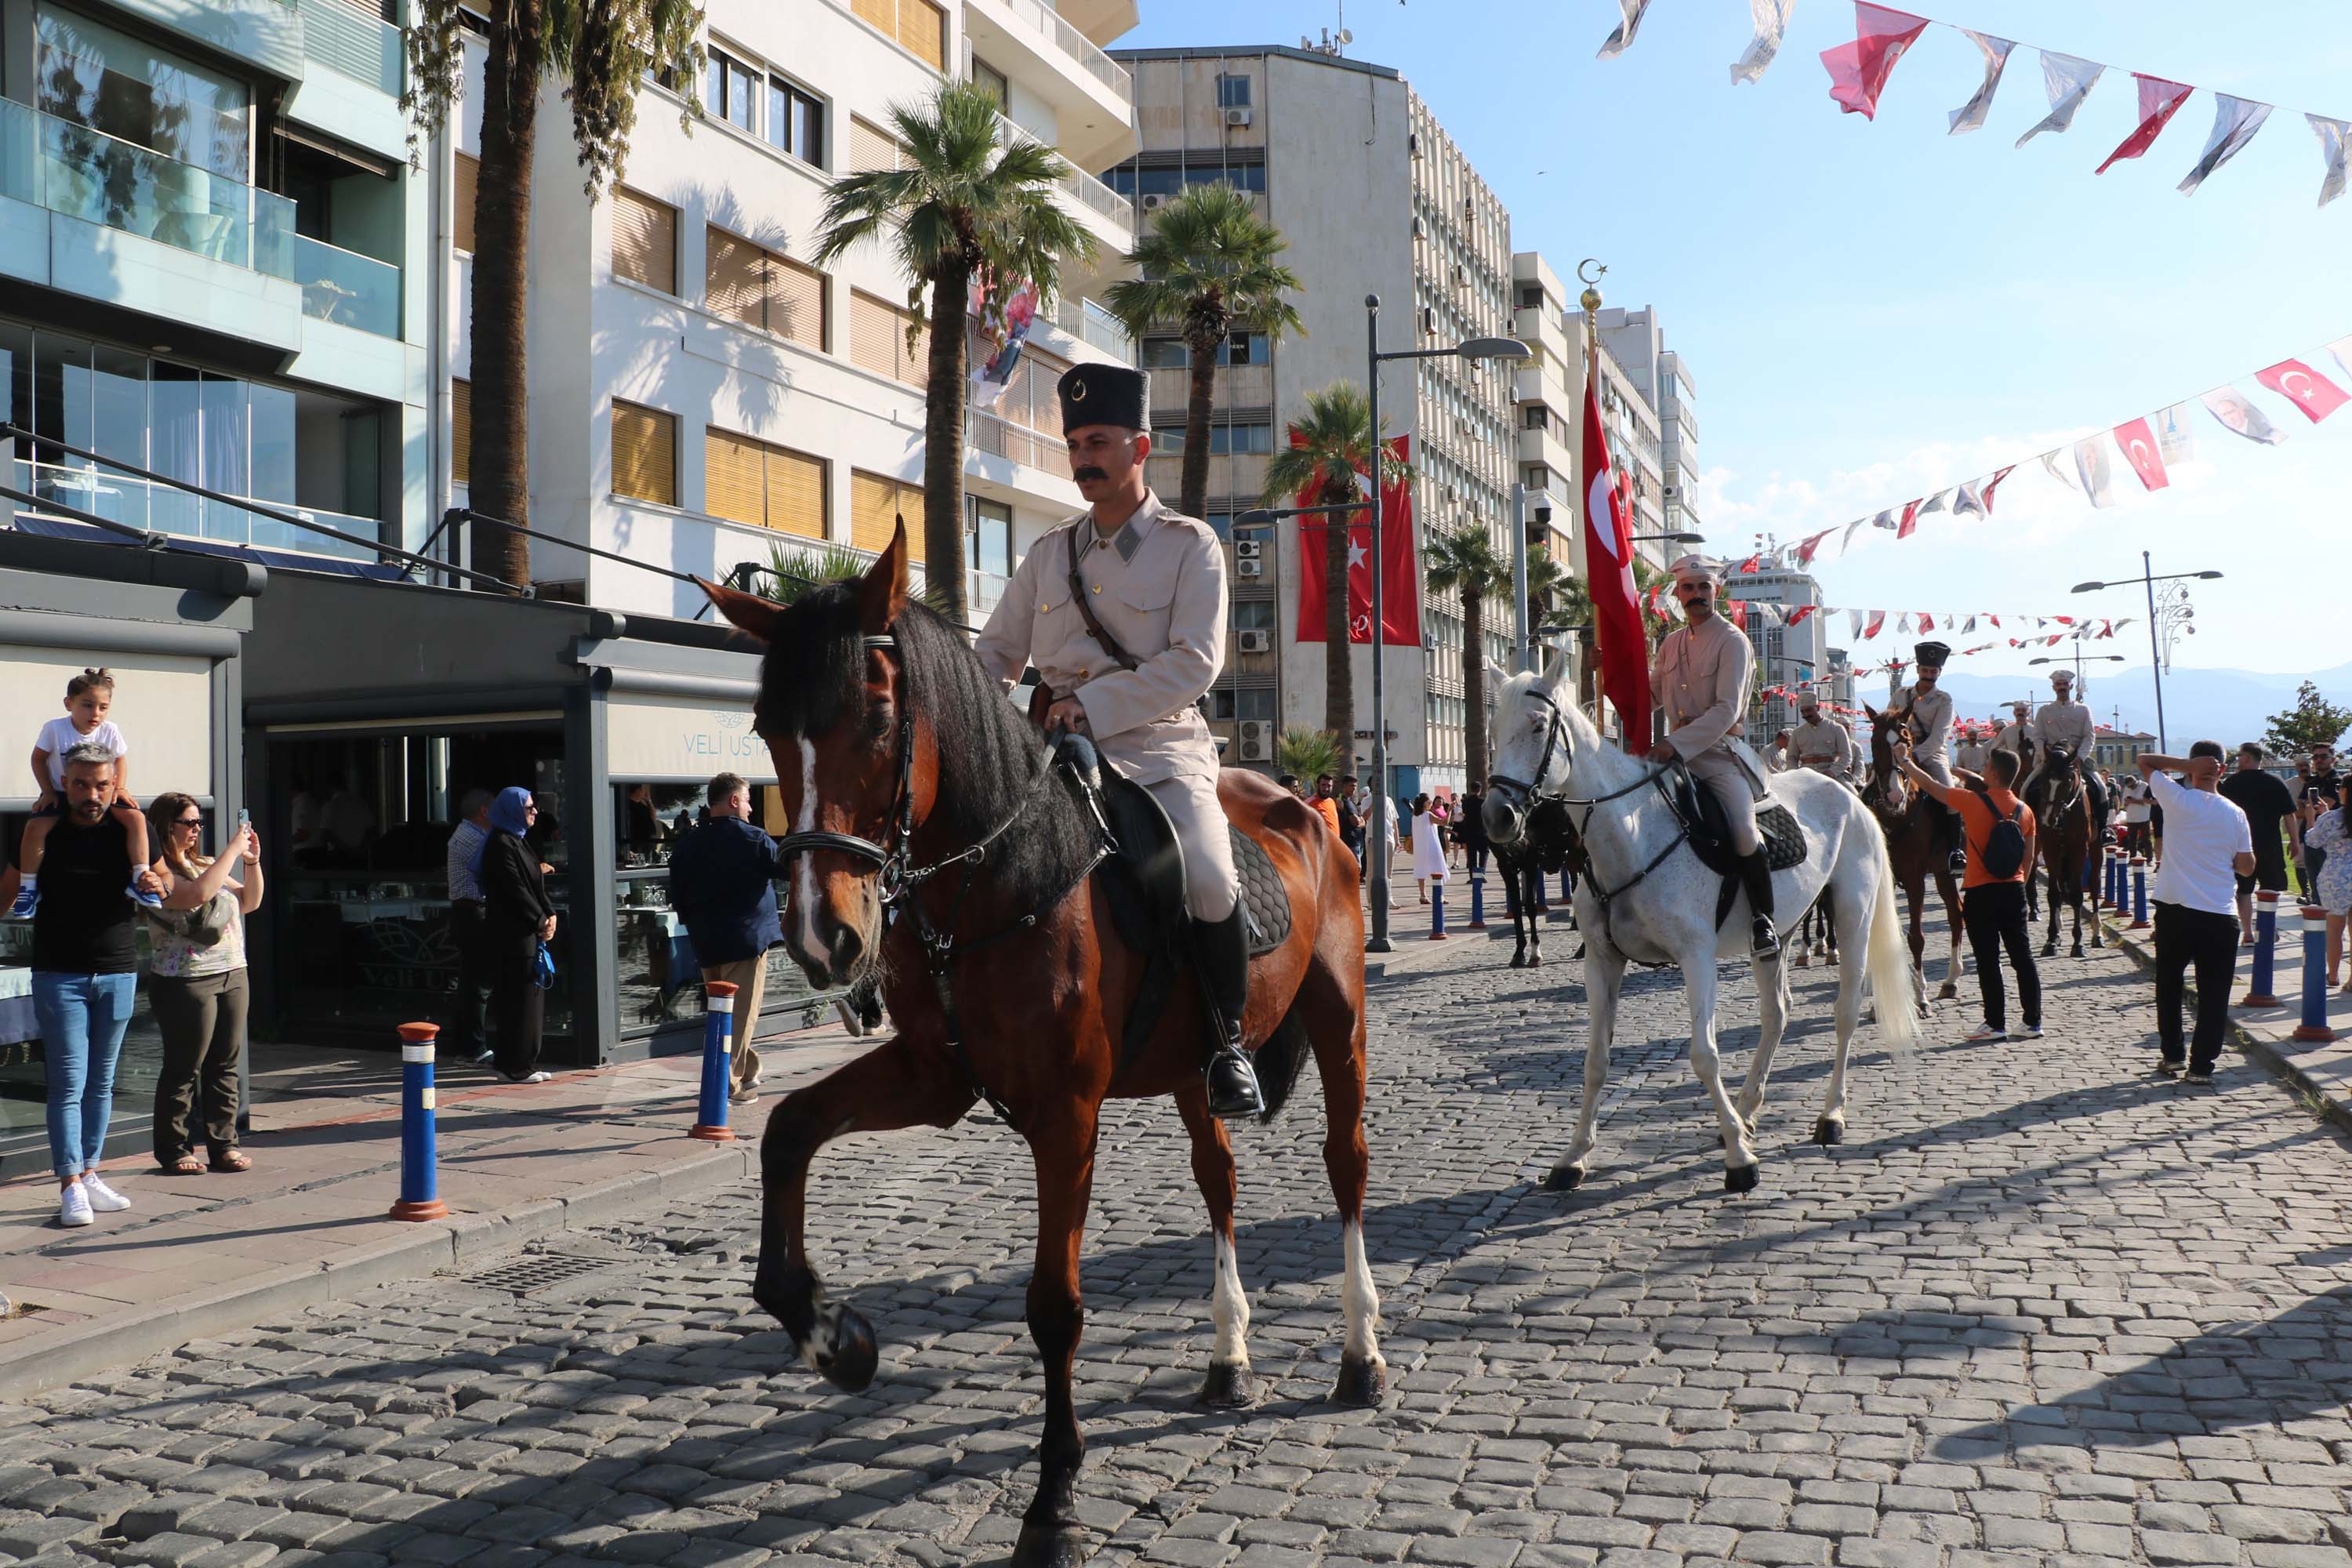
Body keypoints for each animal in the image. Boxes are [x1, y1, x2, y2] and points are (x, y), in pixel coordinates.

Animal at [696, 535, 1374, 1568]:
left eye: (878, 716)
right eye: (768, 727)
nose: (823, 938)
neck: (997, 879)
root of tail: (1307, 808)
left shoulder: (1067, 1115)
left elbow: (1055, 1304)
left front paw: (1053, 1501)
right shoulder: (933, 1075)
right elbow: (788, 1131)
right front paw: (832, 1335)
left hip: (1341, 1025)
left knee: (1346, 1165)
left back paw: (1360, 1352)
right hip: (1194, 1068)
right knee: (1217, 1178)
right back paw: (1228, 1355)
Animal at [1486, 662, 1929, 1189]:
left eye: (1537, 726)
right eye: (1493, 730)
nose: (1497, 816)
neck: (1631, 834)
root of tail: (1850, 797)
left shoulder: (1696, 957)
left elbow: (1703, 1054)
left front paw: (1740, 1161)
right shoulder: (1602, 960)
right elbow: (1595, 1060)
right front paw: (1573, 1157)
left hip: (1852, 913)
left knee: (1844, 1012)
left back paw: (1829, 1117)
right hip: (1776, 936)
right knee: (1777, 1013)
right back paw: (1747, 1109)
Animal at [1863, 710, 1976, 1006]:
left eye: (1907, 742)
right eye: (1875, 743)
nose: (1894, 795)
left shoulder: (1915, 879)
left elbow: (1916, 937)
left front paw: (1921, 996)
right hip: (1942, 873)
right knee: (1956, 913)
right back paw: (1950, 981)